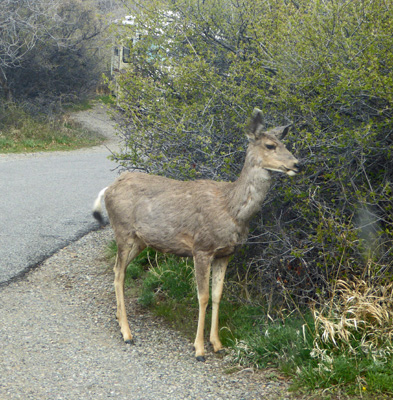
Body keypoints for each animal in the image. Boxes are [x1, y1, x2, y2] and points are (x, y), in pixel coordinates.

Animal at [92, 108, 300, 360]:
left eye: (285, 143)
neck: (232, 210)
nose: (297, 164)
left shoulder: (225, 253)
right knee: (119, 273)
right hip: (123, 231)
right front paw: (199, 348)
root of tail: (109, 188)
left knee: (118, 271)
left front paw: (217, 343)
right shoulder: (202, 248)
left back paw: (118, 318)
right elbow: (202, 296)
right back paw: (126, 332)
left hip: (140, 240)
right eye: (270, 145)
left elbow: (218, 295)